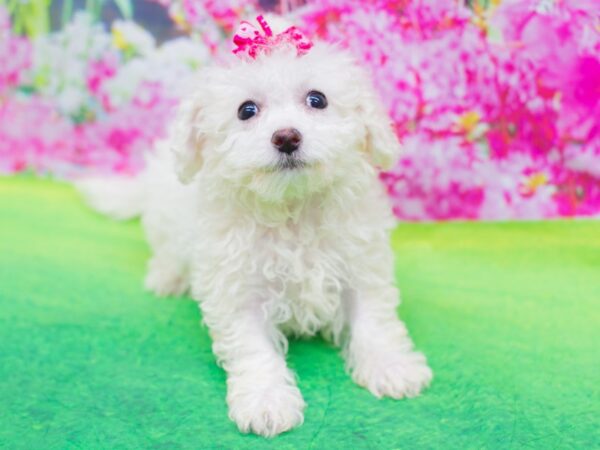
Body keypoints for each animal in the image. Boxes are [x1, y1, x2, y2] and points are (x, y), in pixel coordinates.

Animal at [82, 15, 434, 438]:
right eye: (246, 110)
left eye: (317, 99)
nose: (286, 136)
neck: (292, 207)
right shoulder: (236, 287)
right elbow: (253, 346)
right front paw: (266, 400)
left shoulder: (361, 263)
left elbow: (373, 318)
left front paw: (391, 366)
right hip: (165, 218)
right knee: (166, 249)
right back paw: (167, 277)